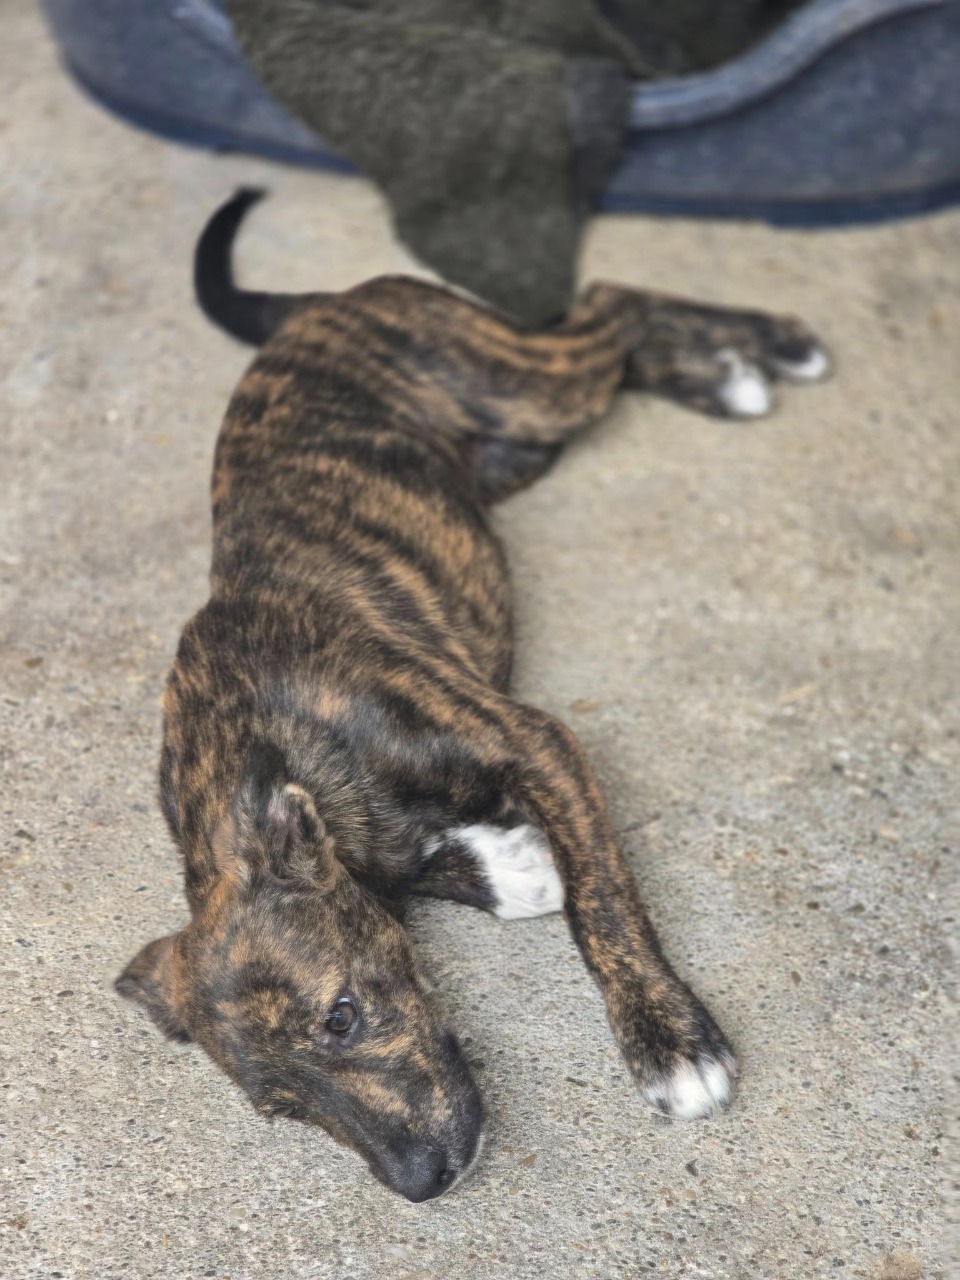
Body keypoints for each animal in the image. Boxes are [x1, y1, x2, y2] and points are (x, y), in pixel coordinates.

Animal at [116, 189, 829, 1201]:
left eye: (342, 1014)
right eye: (280, 1109)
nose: (421, 1182)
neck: (255, 746)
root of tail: (322, 303)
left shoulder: (535, 739)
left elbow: (602, 905)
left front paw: (669, 1041)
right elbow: (448, 871)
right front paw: (515, 866)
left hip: (516, 384)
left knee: (610, 302)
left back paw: (769, 346)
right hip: (512, 450)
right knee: (615, 341)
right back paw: (725, 375)